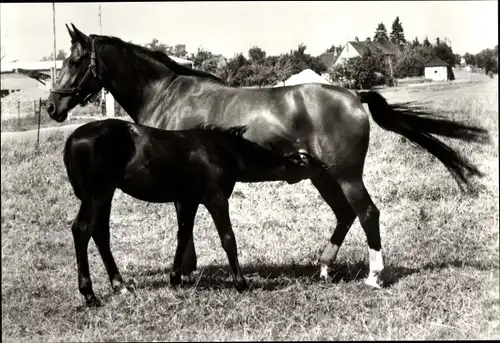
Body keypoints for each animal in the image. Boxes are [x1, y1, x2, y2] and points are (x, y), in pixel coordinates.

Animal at [64, 118, 318, 306]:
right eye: (308, 164)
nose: (324, 169)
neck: (221, 151)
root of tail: (72, 140)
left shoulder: (188, 200)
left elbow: (183, 235)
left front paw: (175, 279)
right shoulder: (216, 199)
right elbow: (228, 238)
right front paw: (241, 283)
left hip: (105, 194)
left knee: (100, 234)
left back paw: (120, 286)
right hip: (97, 194)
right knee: (82, 229)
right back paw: (89, 294)